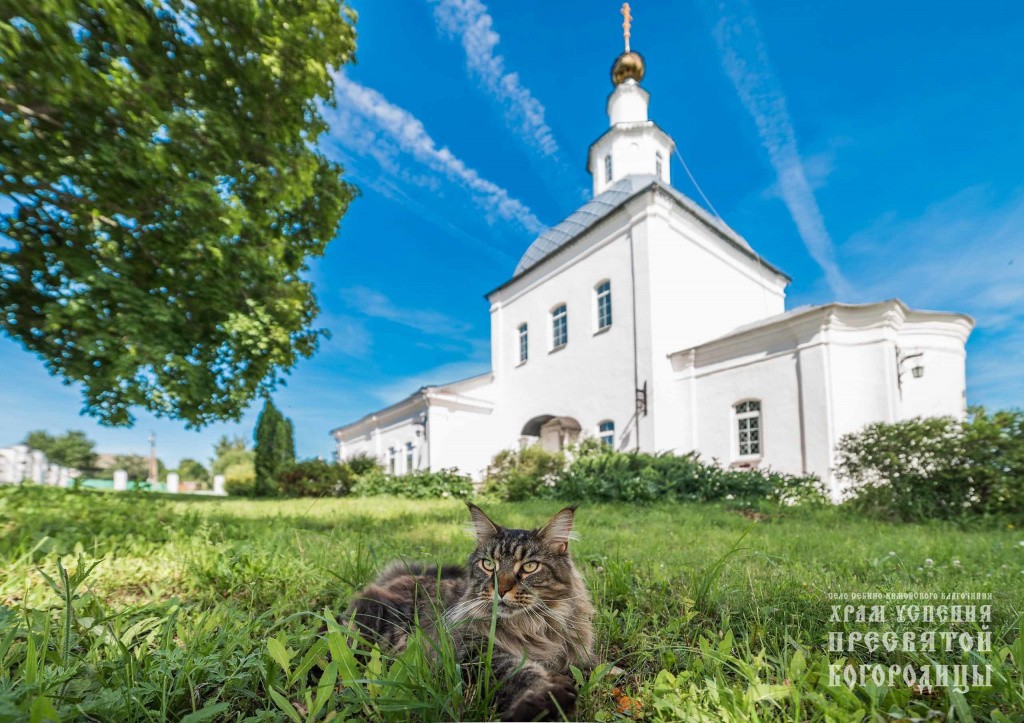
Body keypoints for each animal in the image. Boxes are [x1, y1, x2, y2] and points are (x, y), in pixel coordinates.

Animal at [348, 503, 598, 716]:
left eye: (529, 567)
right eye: (488, 564)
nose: (501, 589)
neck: (532, 626)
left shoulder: (578, 658)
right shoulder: (473, 651)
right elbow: (517, 672)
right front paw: (543, 703)